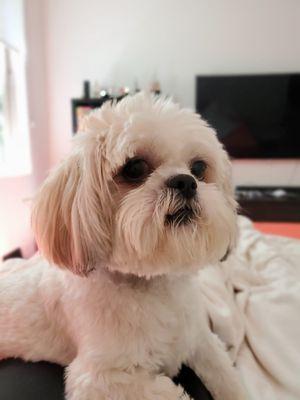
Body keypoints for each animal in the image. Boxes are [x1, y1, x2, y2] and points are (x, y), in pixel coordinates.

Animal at [0, 93, 248, 400]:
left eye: (199, 168)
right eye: (135, 168)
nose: (185, 182)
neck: (152, 283)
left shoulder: (201, 340)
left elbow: (228, 377)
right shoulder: (101, 380)